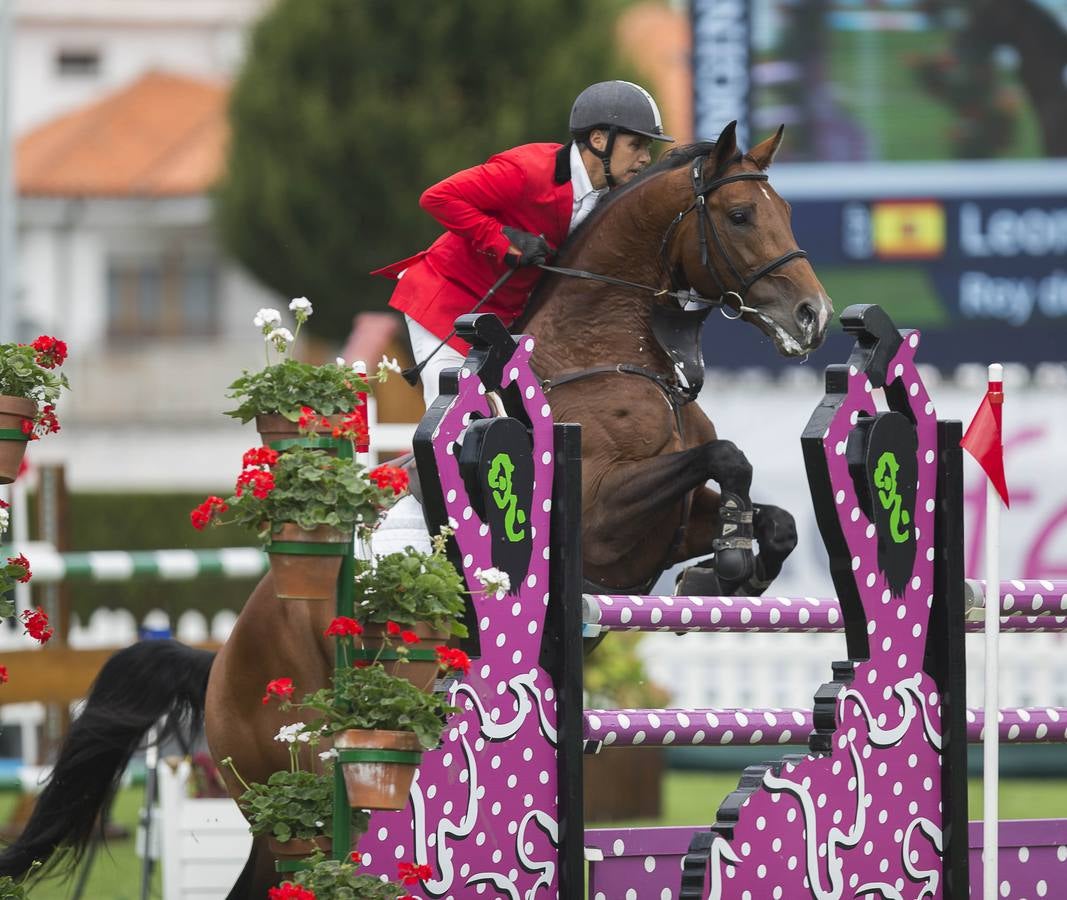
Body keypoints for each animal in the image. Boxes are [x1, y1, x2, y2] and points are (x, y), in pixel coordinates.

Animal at [0, 123, 832, 896]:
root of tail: (221, 661)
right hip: (301, 795)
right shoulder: (603, 514)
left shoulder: (659, 528)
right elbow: (726, 457)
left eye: (786, 210)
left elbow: (770, 512)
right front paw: (729, 558)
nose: (812, 317)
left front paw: (723, 571)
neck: (606, 354)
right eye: (737, 214)